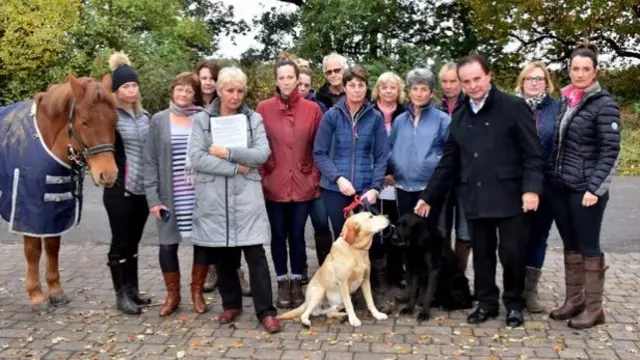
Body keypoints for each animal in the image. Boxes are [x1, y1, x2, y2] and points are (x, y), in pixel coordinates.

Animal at [0, 75, 118, 310]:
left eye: (114, 121)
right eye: (85, 122)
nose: (108, 174)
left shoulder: (54, 207)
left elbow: (53, 247)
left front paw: (55, 290)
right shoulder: (31, 210)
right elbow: (33, 251)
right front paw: (36, 296)